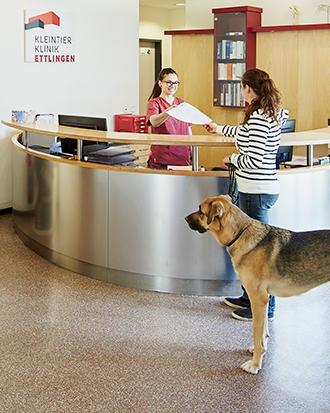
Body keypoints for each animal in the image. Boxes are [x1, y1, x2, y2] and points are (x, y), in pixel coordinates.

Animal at [184, 195, 330, 372]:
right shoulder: (265, 300)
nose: (185, 218)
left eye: (201, 211)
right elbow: (264, 333)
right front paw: (259, 352)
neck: (240, 233)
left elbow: (256, 333)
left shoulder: (257, 299)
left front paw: (254, 365)